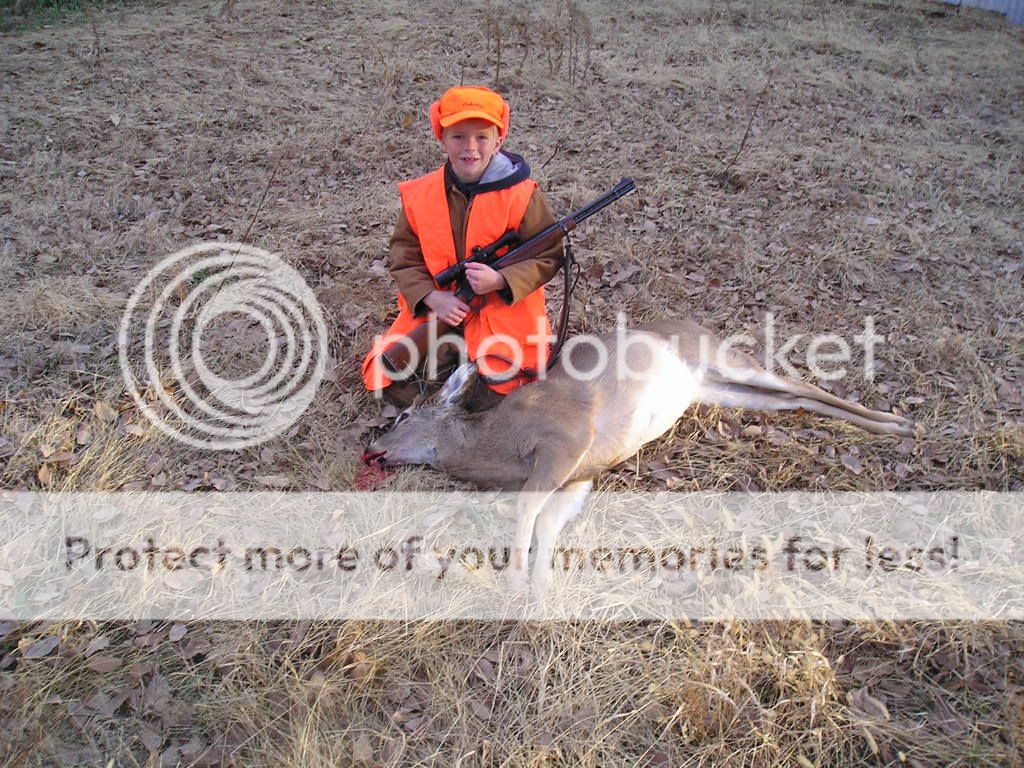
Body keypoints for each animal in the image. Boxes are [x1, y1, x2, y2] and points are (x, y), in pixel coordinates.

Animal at [363, 319, 915, 596]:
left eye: (401, 416)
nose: (371, 448)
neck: (495, 444)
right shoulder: (577, 476)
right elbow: (547, 523)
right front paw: (542, 587)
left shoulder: (567, 439)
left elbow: (525, 509)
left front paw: (517, 580)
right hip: (718, 390)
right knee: (797, 399)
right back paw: (894, 425)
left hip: (725, 361)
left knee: (801, 384)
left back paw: (900, 423)